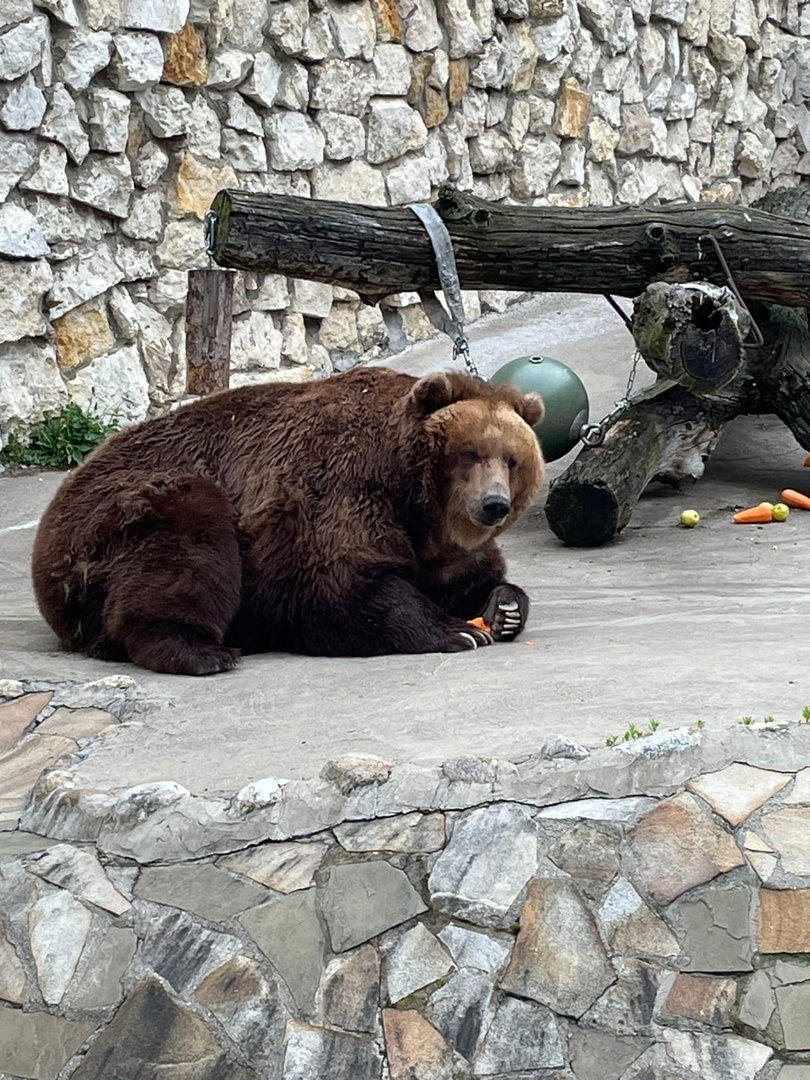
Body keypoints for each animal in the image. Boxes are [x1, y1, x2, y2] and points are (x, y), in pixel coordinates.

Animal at [34, 371, 548, 673]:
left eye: (512, 459)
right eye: (470, 453)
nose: (494, 504)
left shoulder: (441, 547)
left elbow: (471, 577)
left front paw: (502, 609)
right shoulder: (339, 489)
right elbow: (343, 587)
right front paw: (458, 631)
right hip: (115, 516)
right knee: (184, 541)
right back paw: (202, 652)